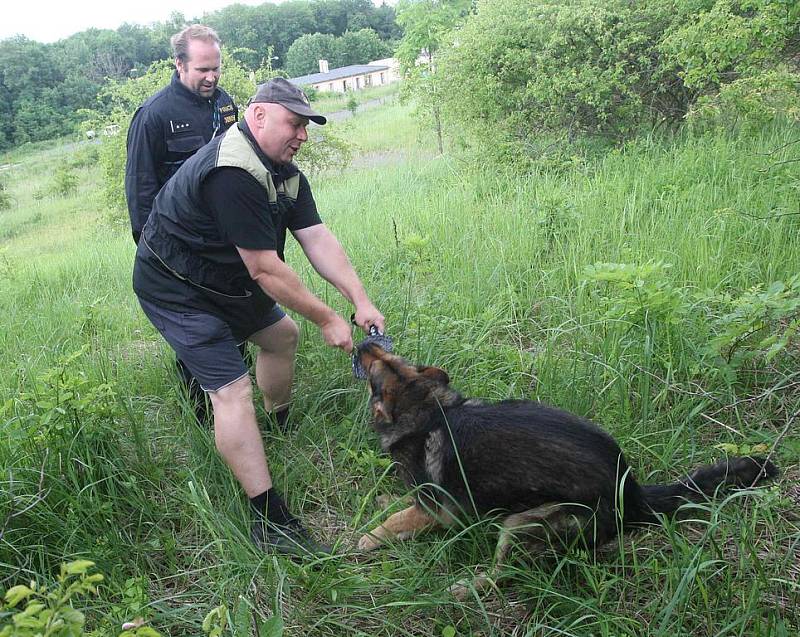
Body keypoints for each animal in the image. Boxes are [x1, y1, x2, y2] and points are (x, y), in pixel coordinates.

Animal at [354, 342, 780, 596]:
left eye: (375, 371)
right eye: (393, 359)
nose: (363, 342)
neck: (429, 408)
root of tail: (633, 492)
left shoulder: (437, 509)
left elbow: (396, 520)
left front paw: (368, 538)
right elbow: (397, 507)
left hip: (521, 524)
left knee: (503, 574)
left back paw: (467, 587)